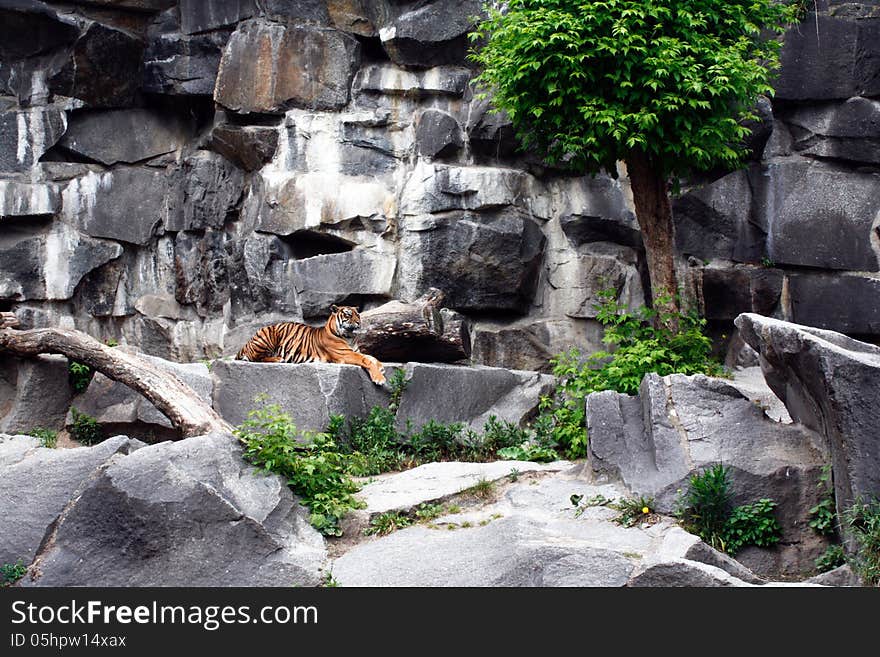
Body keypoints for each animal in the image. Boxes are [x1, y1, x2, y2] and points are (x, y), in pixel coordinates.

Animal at [234, 304, 384, 382]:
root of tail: (247, 342)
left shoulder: (355, 351)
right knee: (256, 358)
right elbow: (366, 360)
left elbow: (371, 357)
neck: (350, 337)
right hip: (267, 335)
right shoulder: (345, 354)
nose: (358, 322)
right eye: (348, 315)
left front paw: (380, 366)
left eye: (357, 314)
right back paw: (278, 359)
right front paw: (379, 377)